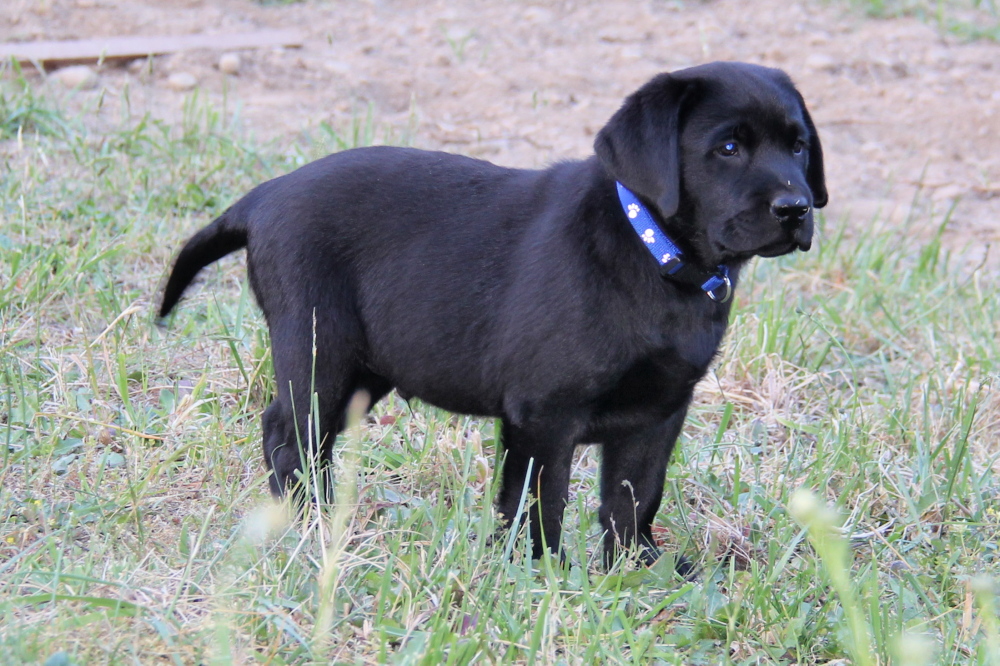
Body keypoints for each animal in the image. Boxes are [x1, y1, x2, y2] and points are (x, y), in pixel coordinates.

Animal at [160, 61, 824, 564]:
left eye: (798, 146)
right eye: (728, 148)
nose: (796, 207)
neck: (655, 255)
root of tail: (263, 195)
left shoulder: (660, 411)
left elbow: (636, 496)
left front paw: (637, 567)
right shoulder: (543, 414)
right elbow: (537, 500)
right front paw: (540, 572)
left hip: (366, 368)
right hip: (320, 346)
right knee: (287, 432)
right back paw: (308, 521)